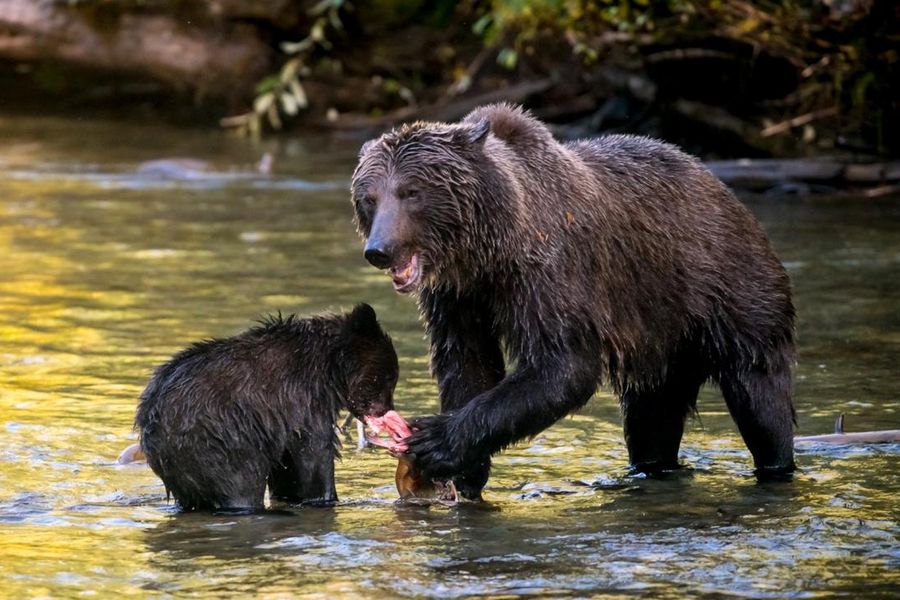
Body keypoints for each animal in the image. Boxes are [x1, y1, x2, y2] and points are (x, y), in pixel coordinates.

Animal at [352, 102, 796, 496]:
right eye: (369, 198)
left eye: (411, 191)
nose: (379, 250)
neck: (490, 252)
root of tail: (726, 192)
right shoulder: (458, 298)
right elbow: (467, 364)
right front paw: (464, 471)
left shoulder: (550, 273)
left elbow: (563, 365)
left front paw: (435, 440)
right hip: (661, 340)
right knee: (651, 418)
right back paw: (651, 468)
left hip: (730, 289)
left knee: (760, 395)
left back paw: (775, 466)